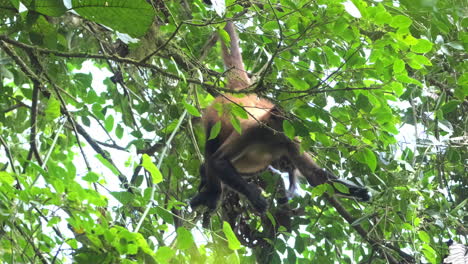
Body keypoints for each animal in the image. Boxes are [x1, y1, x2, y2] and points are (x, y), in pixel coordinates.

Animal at [190, 21, 370, 213]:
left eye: (289, 126)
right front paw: (253, 195)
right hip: (214, 114)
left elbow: (315, 176)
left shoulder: (291, 142)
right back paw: (213, 192)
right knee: (212, 148)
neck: (271, 138)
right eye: (280, 122)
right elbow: (219, 161)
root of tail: (242, 95)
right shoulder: (252, 130)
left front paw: (358, 192)